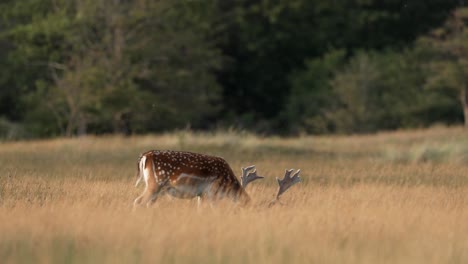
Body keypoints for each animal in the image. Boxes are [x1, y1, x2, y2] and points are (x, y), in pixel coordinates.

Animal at [133, 151, 300, 208]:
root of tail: (145, 156)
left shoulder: (201, 195)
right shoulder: (212, 192)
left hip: (158, 190)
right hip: (155, 184)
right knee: (138, 201)